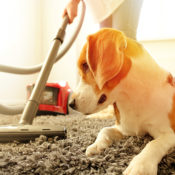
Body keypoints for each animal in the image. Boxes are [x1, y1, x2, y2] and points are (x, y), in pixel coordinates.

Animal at [69, 28, 175, 174]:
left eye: (85, 65)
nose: (71, 104)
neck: (132, 97)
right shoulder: (124, 128)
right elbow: (104, 130)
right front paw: (96, 145)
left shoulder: (170, 134)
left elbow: (154, 143)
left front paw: (140, 165)